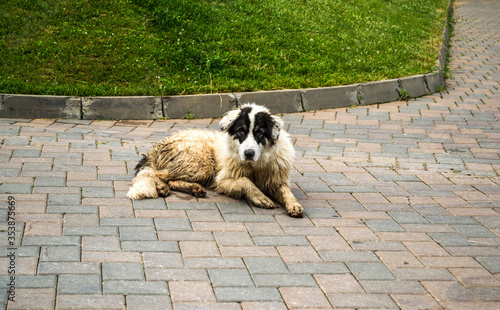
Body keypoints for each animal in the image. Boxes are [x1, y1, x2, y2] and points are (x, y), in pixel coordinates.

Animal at [127, 103, 302, 217]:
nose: (249, 153)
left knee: (169, 179)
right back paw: (161, 186)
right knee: (152, 173)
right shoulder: (223, 180)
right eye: (241, 131)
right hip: (202, 163)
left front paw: (294, 204)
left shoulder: (275, 180)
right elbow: (246, 181)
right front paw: (260, 197)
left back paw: (193, 188)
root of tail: (159, 145)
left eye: (259, 132)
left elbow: (286, 191)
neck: (255, 165)